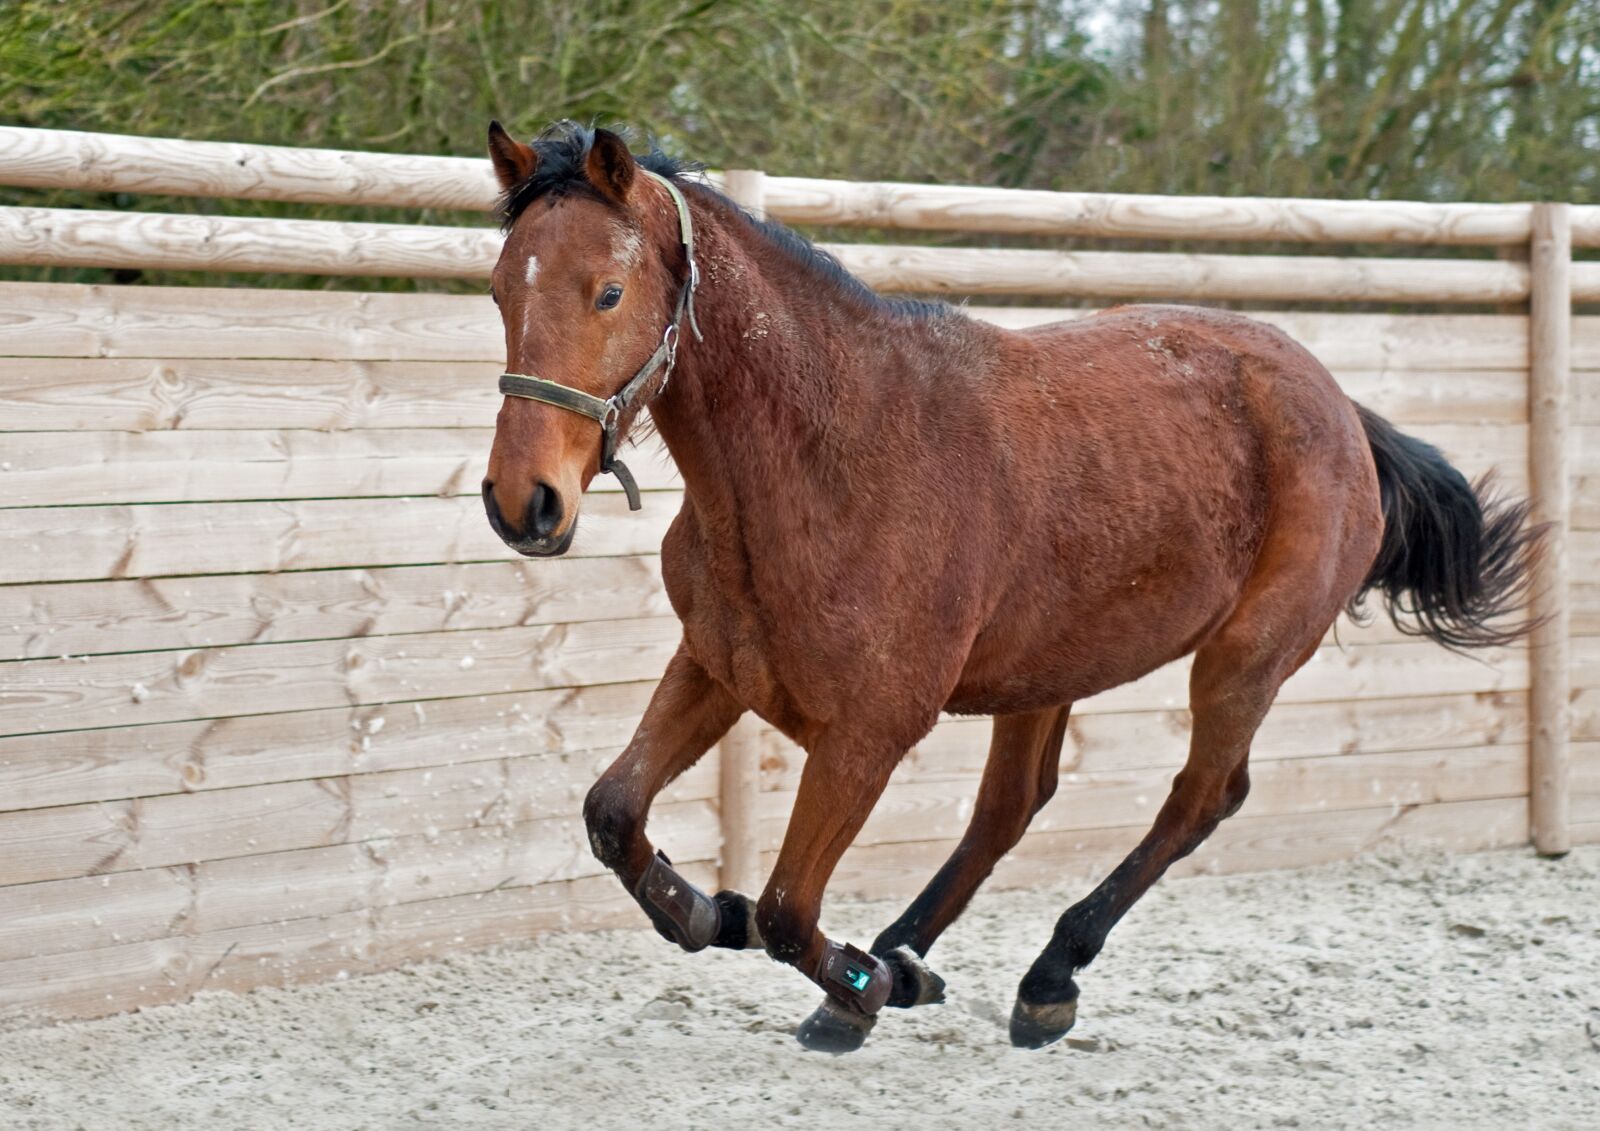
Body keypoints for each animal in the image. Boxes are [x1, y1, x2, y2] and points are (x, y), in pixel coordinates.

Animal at [477, 120, 1542, 1053]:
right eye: (498, 289)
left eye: (609, 291)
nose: (524, 501)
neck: (828, 457)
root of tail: (1339, 406)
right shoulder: (718, 666)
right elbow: (615, 814)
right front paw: (718, 915)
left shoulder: (870, 730)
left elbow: (785, 908)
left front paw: (855, 982)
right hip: (1049, 666)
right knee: (1013, 805)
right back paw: (910, 954)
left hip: (1248, 656)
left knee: (1201, 797)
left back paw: (1039, 977)